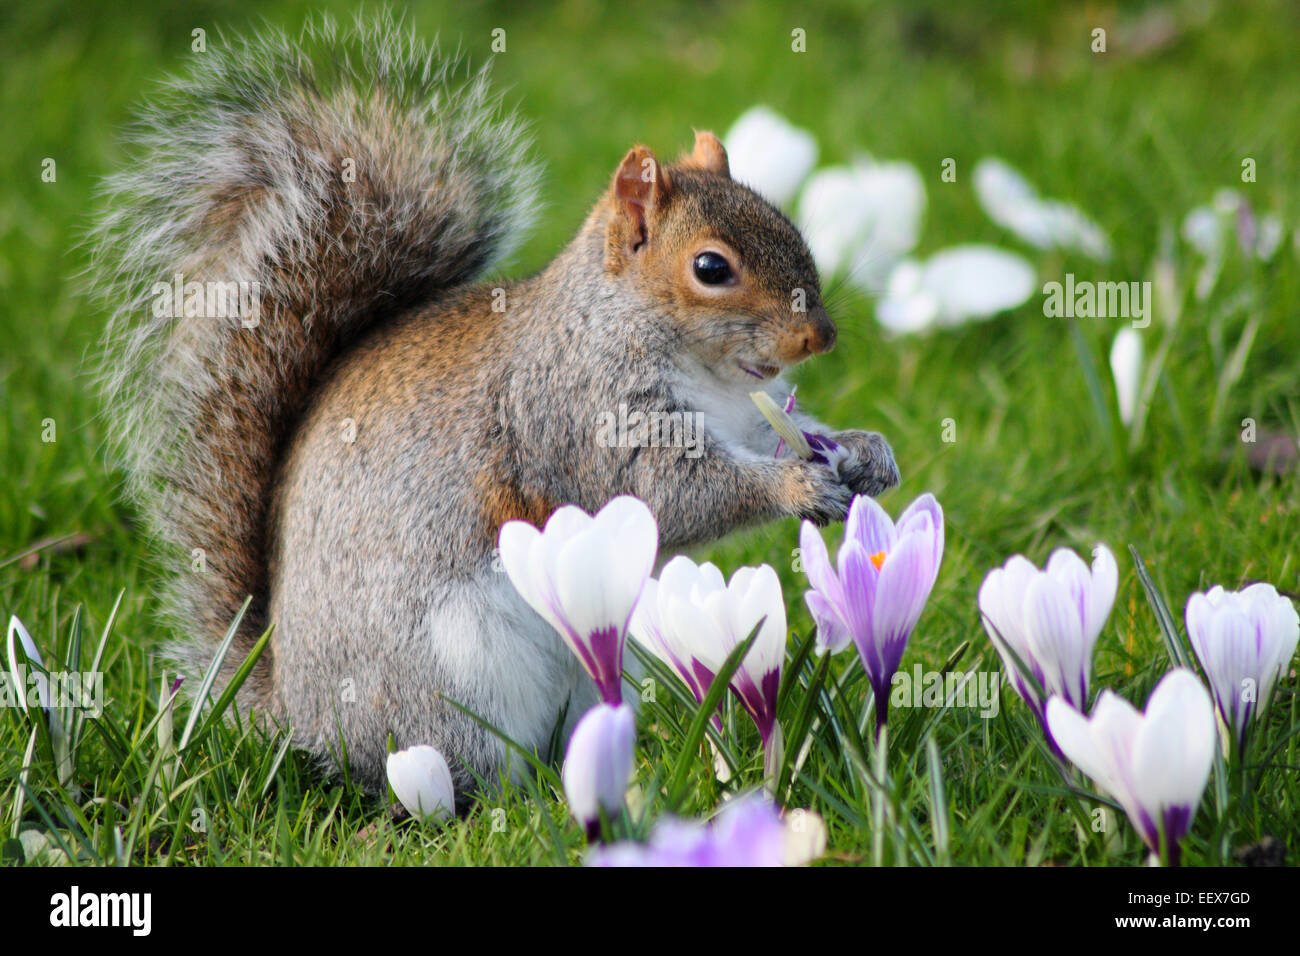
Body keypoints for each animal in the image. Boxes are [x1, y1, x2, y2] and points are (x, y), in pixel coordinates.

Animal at [90, 14, 900, 803]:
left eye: (788, 225)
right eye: (711, 268)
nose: (820, 337)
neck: (701, 369)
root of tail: (294, 716)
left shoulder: (746, 415)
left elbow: (790, 433)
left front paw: (865, 452)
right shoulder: (579, 412)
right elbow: (671, 491)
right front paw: (796, 486)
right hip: (452, 683)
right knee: (465, 774)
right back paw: (530, 804)